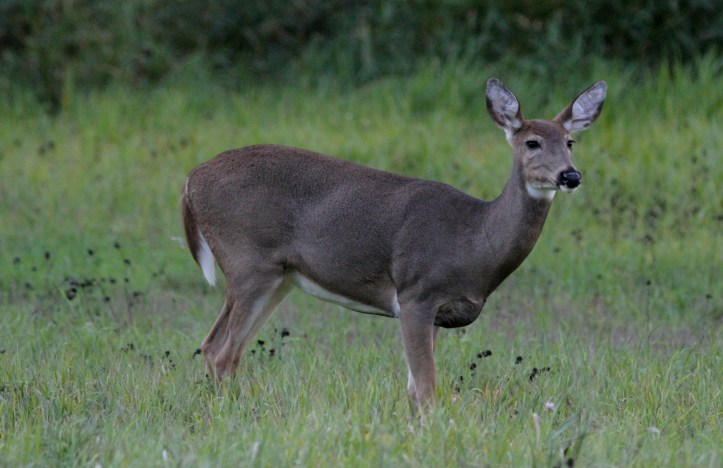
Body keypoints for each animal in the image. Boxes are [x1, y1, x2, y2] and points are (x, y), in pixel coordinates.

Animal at [181, 78, 607, 412]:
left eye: (570, 141)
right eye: (532, 142)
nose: (570, 176)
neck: (473, 240)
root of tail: (190, 181)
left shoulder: (439, 313)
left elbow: (415, 391)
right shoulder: (417, 292)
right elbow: (428, 390)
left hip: (278, 278)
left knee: (222, 348)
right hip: (249, 261)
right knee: (219, 351)